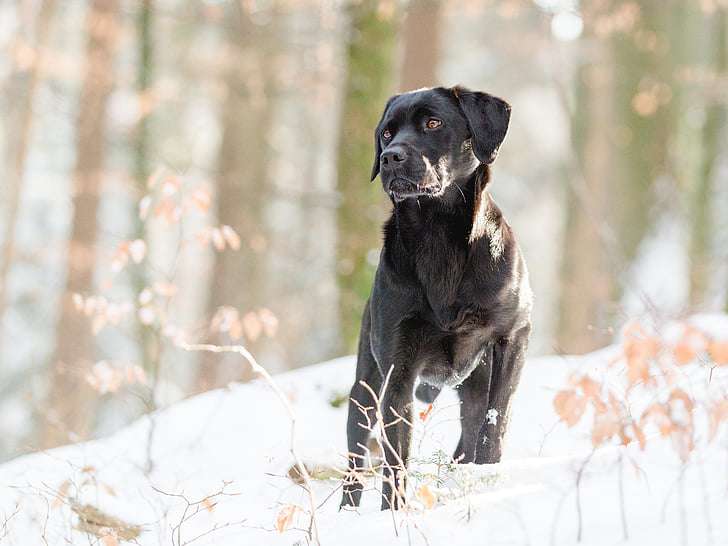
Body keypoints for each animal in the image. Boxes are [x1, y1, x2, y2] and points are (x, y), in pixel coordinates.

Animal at [338, 86, 532, 510]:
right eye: (387, 132)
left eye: (433, 123)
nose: (390, 157)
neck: (437, 236)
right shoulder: (398, 369)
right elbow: (395, 459)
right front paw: (392, 514)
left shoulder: (513, 337)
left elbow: (495, 422)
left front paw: (488, 480)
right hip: (365, 385)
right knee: (356, 453)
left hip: (474, 381)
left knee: (470, 433)